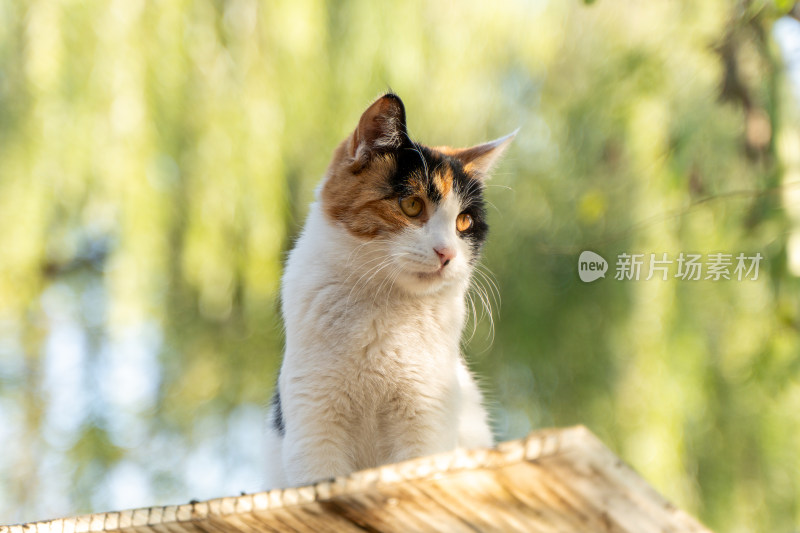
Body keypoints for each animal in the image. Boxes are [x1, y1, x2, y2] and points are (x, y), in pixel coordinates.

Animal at [262, 92, 512, 486]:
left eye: (463, 222)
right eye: (411, 205)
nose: (447, 253)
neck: (384, 309)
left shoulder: (425, 420)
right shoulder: (314, 424)